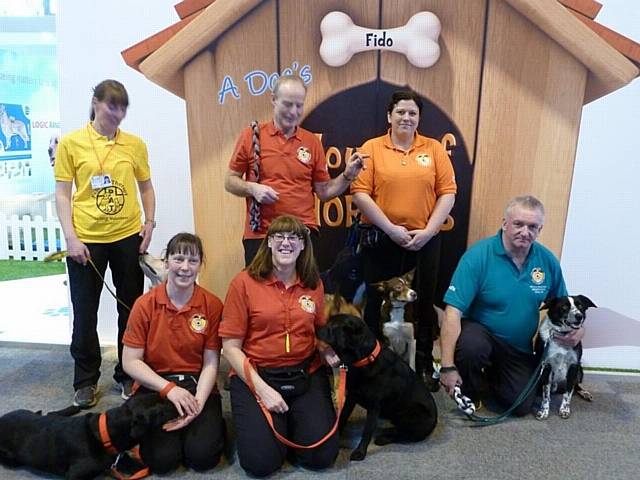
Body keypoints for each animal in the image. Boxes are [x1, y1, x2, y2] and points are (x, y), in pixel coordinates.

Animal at [316, 316, 438, 462]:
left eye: (333, 326)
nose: (315, 329)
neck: (365, 360)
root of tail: (435, 422)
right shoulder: (352, 397)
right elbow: (343, 417)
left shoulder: (374, 406)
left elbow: (367, 431)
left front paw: (360, 452)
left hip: (414, 414)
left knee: (406, 435)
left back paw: (384, 438)